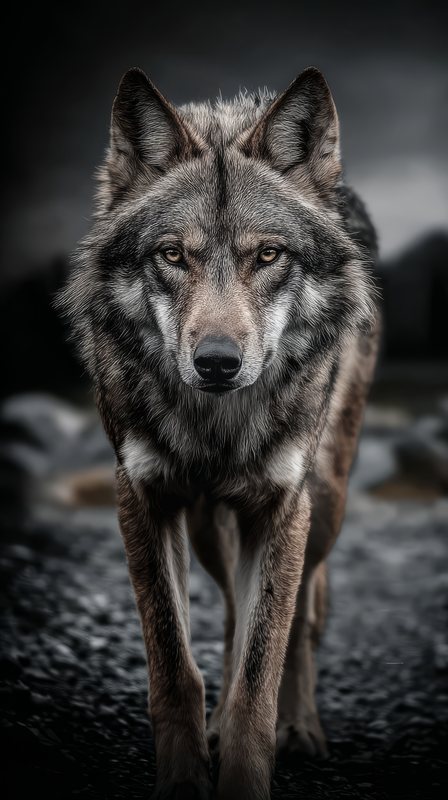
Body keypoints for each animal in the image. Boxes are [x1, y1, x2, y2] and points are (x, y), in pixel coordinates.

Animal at [59, 66, 380, 799]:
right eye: (173, 254)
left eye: (268, 254)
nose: (216, 362)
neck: (216, 426)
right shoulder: (143, 498)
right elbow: (176, 669)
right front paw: (185, 776)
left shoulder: (282, 506)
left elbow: (259, 676)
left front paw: (249, 766)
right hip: (208, 526)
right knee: (235, 612)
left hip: (323, 502)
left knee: (297, 620)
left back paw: (300, 727)